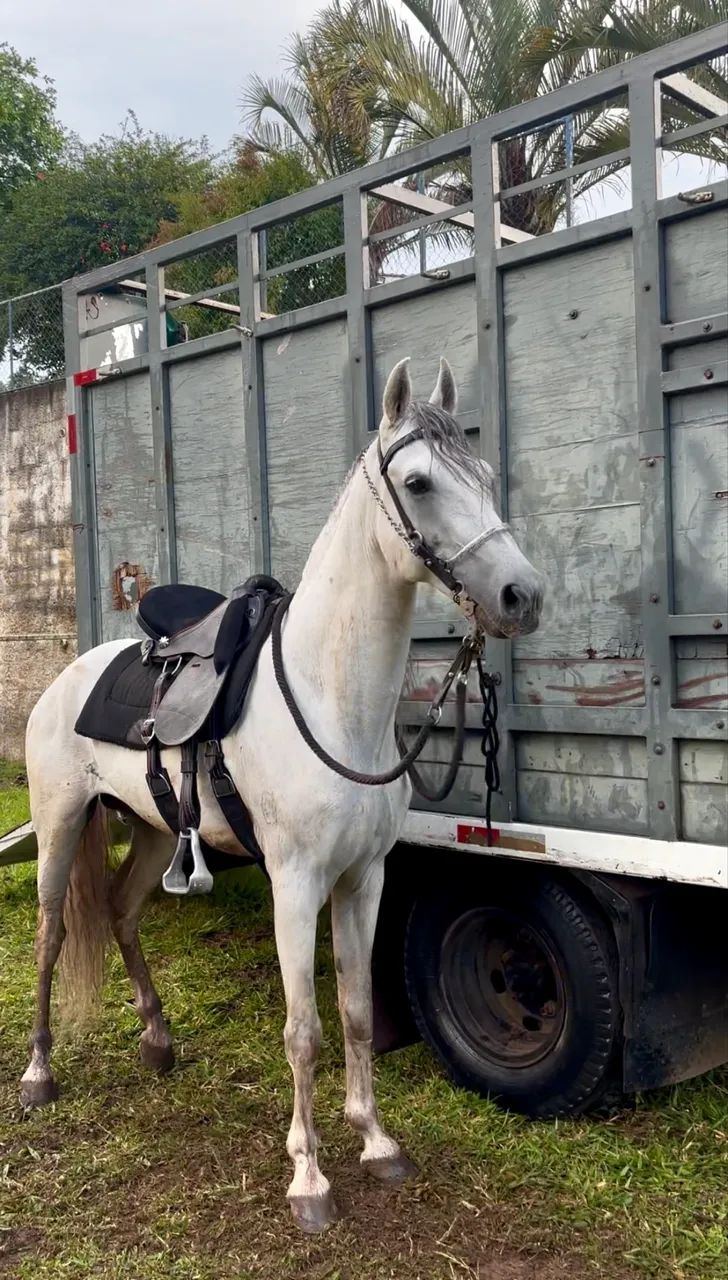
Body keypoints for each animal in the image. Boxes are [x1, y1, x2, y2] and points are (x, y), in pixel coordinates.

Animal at [20, 356, 543, 1232]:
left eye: (487, 476)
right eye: (419, 481)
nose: (521, 596)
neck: (334, 702)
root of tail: (67, 679)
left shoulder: (363, 879)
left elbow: (357, 1010)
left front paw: (376, 1142)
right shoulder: (294, 884)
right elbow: (304, 1030)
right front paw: (308, 1179)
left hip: (156, 831)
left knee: (122, 913)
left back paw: (158, 1041)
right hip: (60, 829)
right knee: (53, 936)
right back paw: (38, 1074)